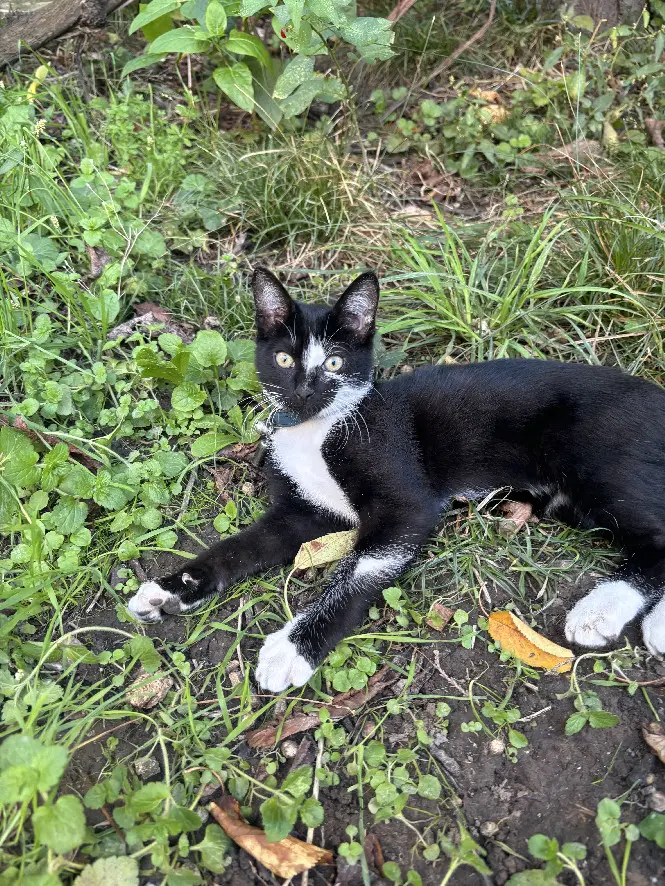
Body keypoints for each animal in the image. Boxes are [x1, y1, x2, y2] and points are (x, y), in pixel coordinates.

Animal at [126, 268, 664, 692]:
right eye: (283, 359)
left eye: (335, 363)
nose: (304, 391)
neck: (317, 431)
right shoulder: (301, 512)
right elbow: (238, 548)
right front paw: (172, 588)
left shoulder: (406, 503)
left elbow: (358, 570)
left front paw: (293, 647)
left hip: (600, 466)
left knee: (657, 540)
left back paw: (602, 610)